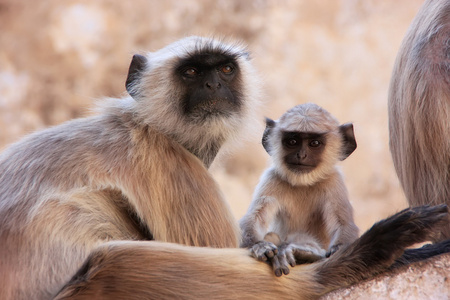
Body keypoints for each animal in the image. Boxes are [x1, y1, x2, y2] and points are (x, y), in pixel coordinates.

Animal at [241, 103, 360, 276]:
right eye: (293, 141)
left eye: (314, 143)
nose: (301, 155)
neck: (303, 183)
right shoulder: (272, 178)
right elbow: (255, 217)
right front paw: (259, 245)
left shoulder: (334, 182)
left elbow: (344, 224)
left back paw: (304, 253)